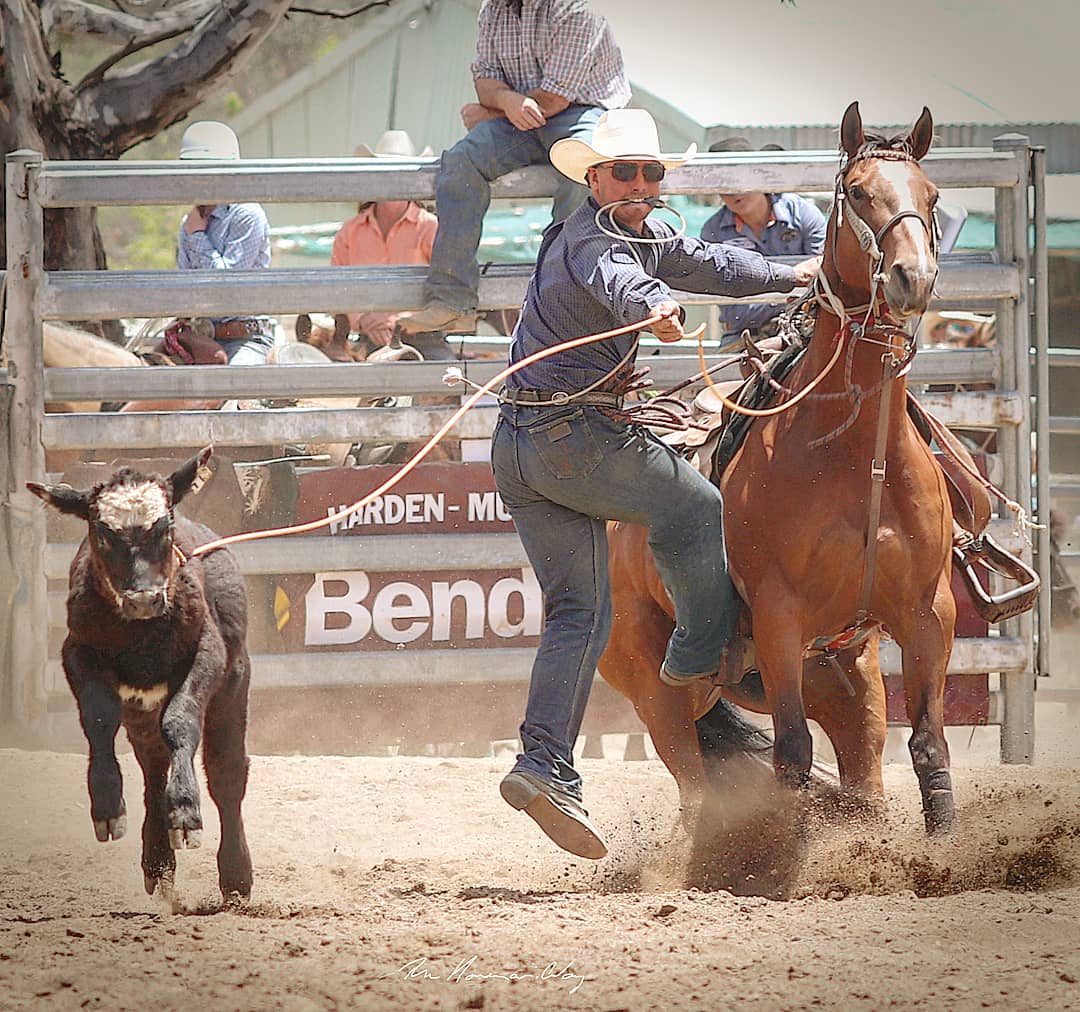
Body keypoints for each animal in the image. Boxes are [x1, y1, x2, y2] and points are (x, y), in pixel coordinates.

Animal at [27, 447, 253, 900]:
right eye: (103, 532)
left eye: (164, 527)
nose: (145, 599)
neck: (142, 632)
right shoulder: (77, 653)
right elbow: (99, 718)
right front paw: (107, 807)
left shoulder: (207, 653)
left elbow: (181, 722)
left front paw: (185, 812)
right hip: (141, 714)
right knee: (153, 769)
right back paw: (158, 862)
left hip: (233, 687)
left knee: (226, 773)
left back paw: (236, 876)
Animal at [600, 102, 957, 841]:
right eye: (858, 193)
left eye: (932, 196)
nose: (913, 277)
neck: (858, 457)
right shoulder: (780, 617)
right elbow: (790, 754)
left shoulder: (928, 612)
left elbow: (929, 745)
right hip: (656, 689)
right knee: (696, 788)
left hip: (846, 680)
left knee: (865, 775)